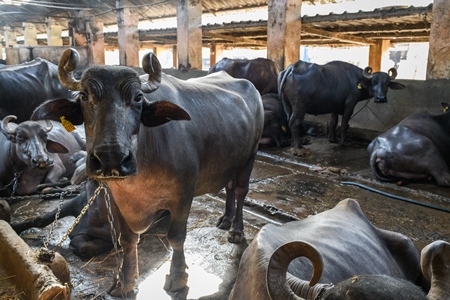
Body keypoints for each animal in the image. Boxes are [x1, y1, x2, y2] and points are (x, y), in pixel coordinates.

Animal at [30, 48, 264, 296]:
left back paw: (236, 229)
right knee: (229, 186)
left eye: (138, 98)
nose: (111, 158)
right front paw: (125, 280)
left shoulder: (183, 195)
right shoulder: (117, 200)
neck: (140, 177)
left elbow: (176, 237)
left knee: (240, 190)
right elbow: (127, 240)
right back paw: (225, 219)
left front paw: (178, 277)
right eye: (84, 96)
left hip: (250, 155)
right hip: (233, 160)